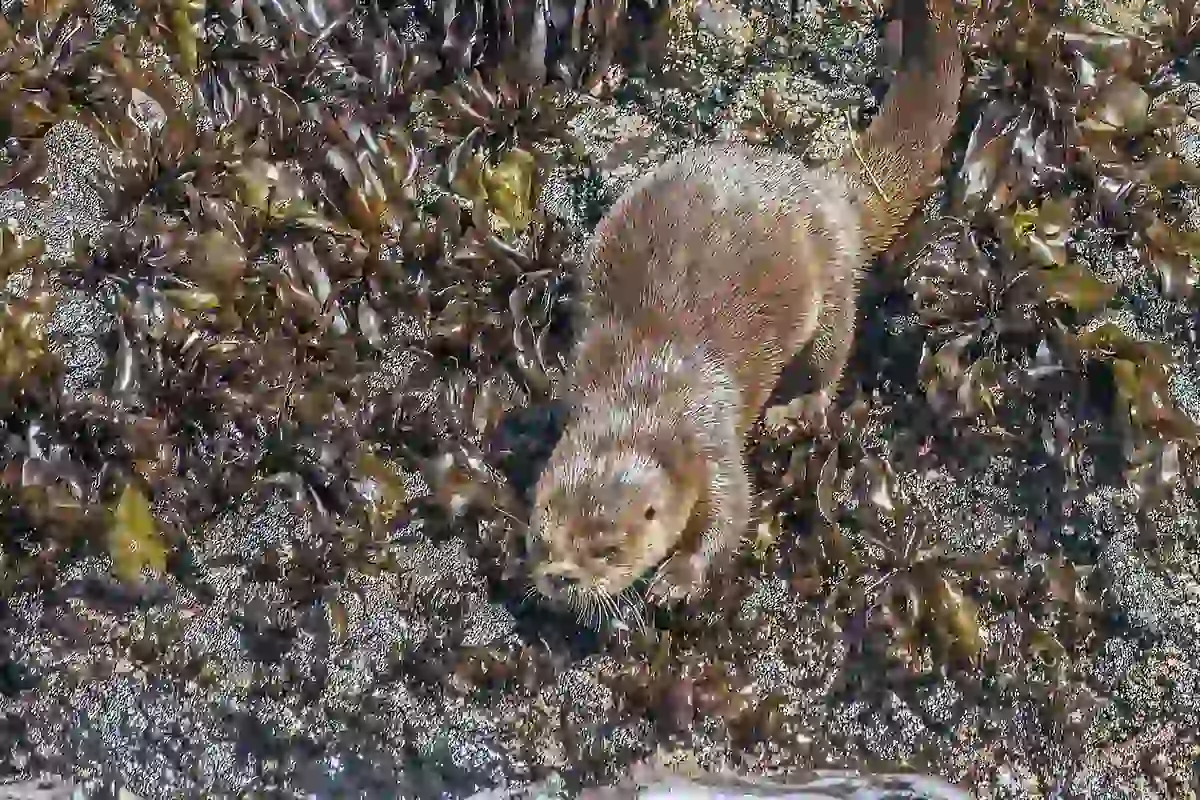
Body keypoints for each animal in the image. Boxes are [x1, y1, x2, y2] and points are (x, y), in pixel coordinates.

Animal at [527, 0, 964, 612]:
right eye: (542, 537)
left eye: (608, 549)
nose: (561, 577)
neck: (643, 394)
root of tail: (825, 189)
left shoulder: (711, 441)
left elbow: (731, 515)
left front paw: (677, 578)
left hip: (830, 281)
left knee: (831, 355)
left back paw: (797, 410)